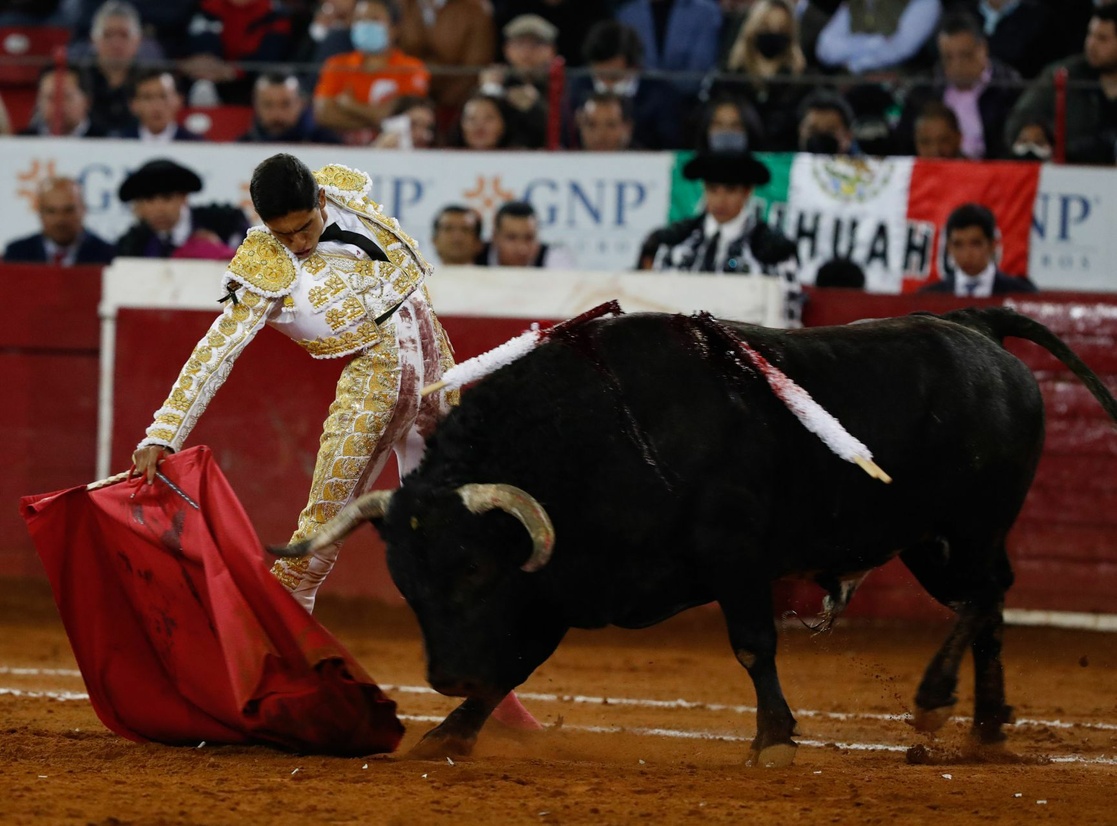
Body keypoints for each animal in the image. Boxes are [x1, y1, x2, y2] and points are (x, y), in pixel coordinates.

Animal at [270, 306, 1117, 764]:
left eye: (473, 571)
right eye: (407, 584)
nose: (443, 676)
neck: (595, 433)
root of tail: (977, 327)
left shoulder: (733, 556)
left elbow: (751, 644)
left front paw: (773, 739)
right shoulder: (562, 582)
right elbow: (515, 662)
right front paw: (450, 733)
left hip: (966, 527)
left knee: (984, 596)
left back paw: (935, 702)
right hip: (928, 543)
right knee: (990, 607)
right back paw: (985, 726)